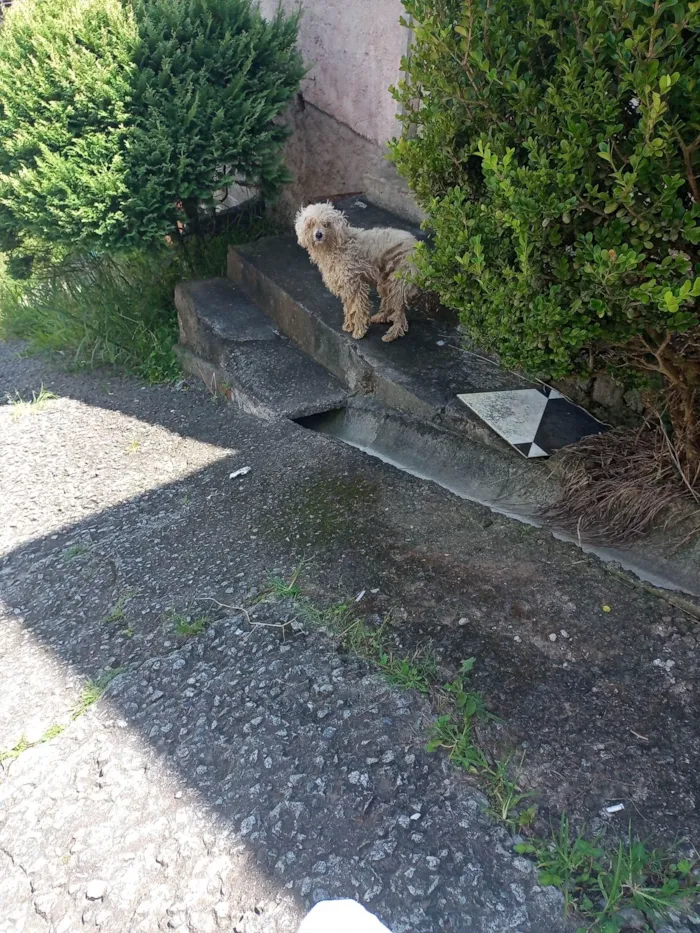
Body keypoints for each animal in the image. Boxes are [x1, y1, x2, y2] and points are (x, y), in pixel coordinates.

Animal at [294, 200, 418, 342]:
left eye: (327, 224)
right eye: (311, 224)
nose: (318, 234)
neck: (336, 247)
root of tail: (415, 243)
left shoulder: (355, 284)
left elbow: (358, 308)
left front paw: (359, 331)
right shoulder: (346, 286)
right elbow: (349, 308)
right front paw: (349, 326)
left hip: (399, 282)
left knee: (399, 314)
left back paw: (392, 334)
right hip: (386, 282)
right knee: (389, 304)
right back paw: (380, 317)